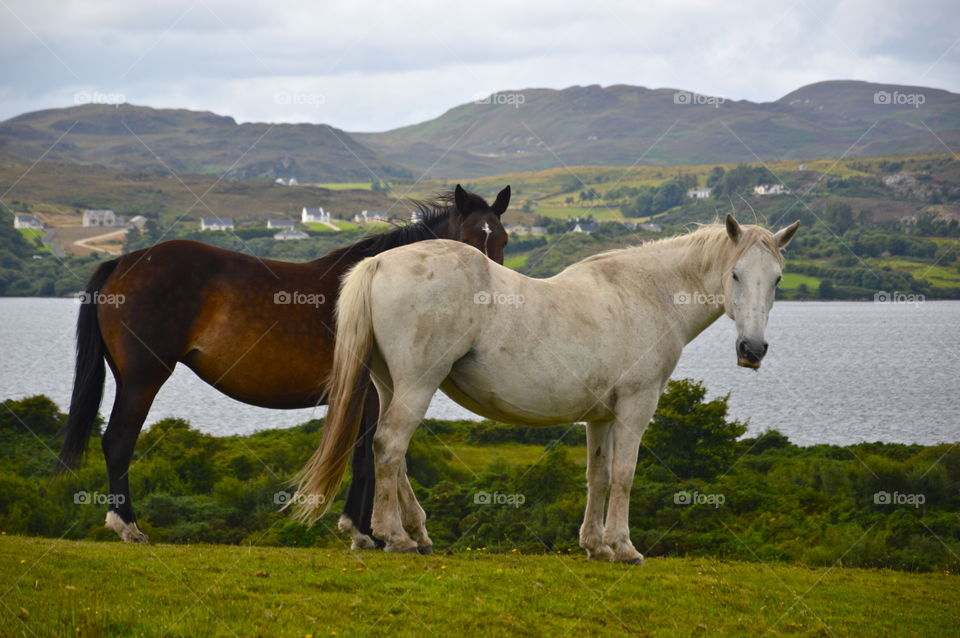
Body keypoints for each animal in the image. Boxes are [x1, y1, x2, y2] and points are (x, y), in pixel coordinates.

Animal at [57, 184, 511, 544]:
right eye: (467, 240)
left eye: (504, 239)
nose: (491, 293)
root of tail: (122, 263)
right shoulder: (368, 393)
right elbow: (367, 457)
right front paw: (365, 532)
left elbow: (365, 456)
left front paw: (362, 530)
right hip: (143, 377)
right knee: (119, 441)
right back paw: (127, 526)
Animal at [291, 215, 799, 561]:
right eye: (735, 274)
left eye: (776, 279)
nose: (752, 349)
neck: (646, 293)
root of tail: (378, 262)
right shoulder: (636, 407)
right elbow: (624, 474)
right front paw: (624, 546)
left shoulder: (601, 416)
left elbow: (598, 476)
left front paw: (596, 546)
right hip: (417, 384)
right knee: (391, 445)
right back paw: (395, 537)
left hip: (389, 384)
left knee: (390, 454)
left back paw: (415, 532)